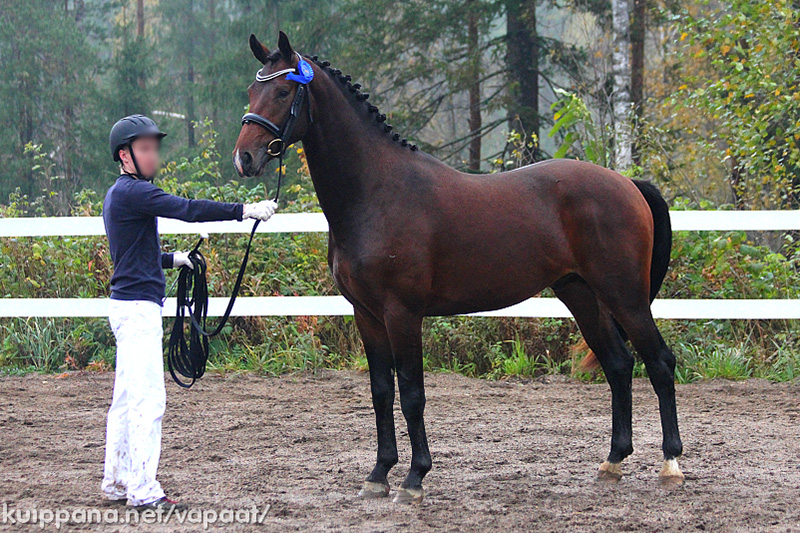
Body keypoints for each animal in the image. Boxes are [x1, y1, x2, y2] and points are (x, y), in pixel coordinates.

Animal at [233, 31, 684, 503]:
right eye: (251, 89)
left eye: (283, 92)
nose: (244, 158)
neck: (375, 193)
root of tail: (627, 183)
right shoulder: (366, 315)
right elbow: (381, 392)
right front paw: (379, 474)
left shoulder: (402, 313)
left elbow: (412, 394)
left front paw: (414, 478)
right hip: (582, 295)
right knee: (618, 365)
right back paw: (613, 462)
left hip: (625, 297)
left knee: (659, 363)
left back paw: (671, 464)